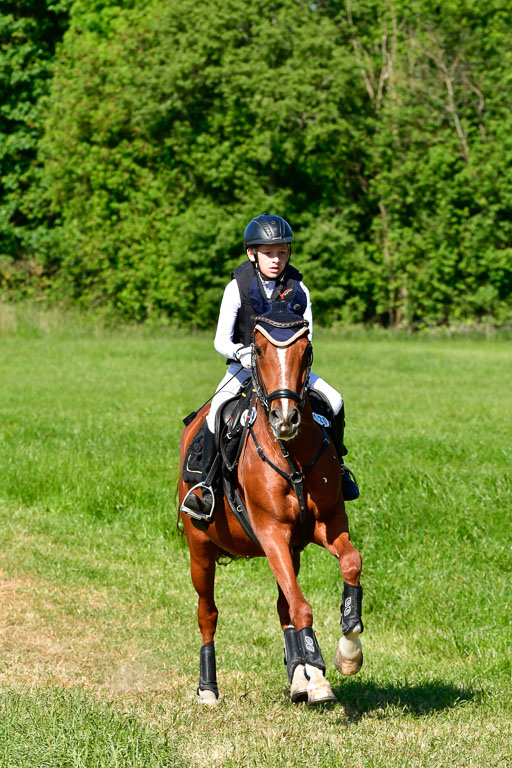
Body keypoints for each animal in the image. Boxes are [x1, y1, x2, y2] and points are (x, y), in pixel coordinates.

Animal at [178, 308, 362, 704]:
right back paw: (208, 688)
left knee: (283, 605)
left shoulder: (325, 526)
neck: (291, 455)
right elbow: (301, 606)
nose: (285, 418)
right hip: (200, 549)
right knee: (207, 613)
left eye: (306, 351)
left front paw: (347, 652)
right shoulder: (272, 533)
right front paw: (320, 678)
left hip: (290, 551)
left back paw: (300, 675)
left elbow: (350, 565)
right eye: (259, 351)